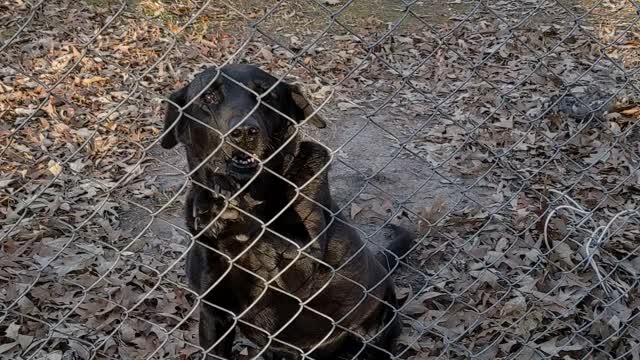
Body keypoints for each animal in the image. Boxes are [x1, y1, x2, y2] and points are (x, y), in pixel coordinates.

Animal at [159, 65, 410, 360]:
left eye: (267, 96)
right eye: (208, 97)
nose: (245, 132)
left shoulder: (307, 270)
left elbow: (276, 240)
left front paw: (232, 212)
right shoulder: (214, 316)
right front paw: (212, 203)